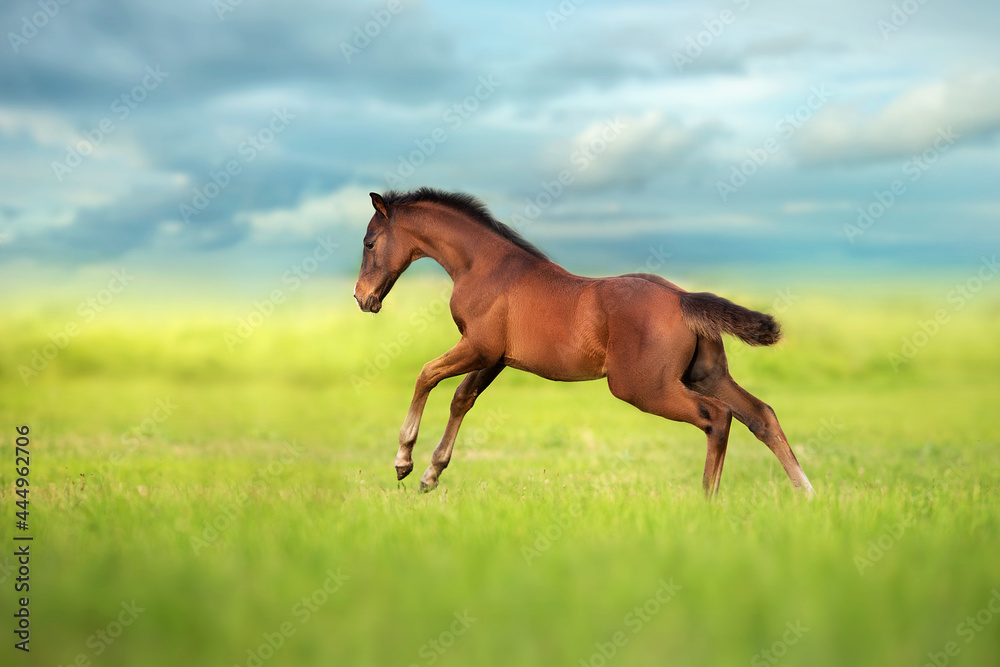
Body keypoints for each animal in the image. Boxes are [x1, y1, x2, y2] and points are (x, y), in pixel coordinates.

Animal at [353, 188, 815, 497]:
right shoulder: (496, 357)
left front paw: (403, 461)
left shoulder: (478, 347)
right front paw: (431, 474)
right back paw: (807, 493)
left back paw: (708, 501)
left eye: (369, 242)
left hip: (642, 387)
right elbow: (461, 400)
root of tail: (683, 299)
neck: (483, 265)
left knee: (718, 417)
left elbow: (426, 375)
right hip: (706, 375)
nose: (362, 298)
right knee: (761, 415)